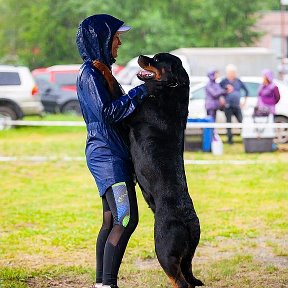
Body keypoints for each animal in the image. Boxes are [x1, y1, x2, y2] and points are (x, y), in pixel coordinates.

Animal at [126, 53, 205, 286]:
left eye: (157, 59)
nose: (141, 56)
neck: (171, 89)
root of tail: (188, 223)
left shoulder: (129, 118)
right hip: (187, 256)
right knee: (188, 273)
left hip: (164, 250)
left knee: (180, 281)